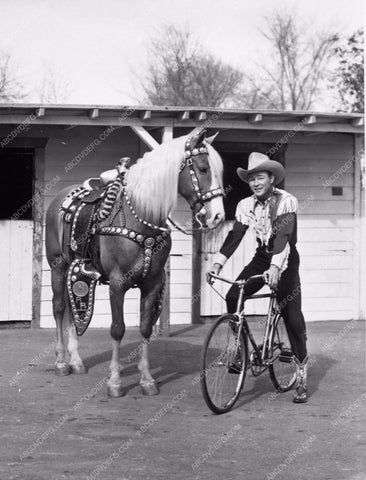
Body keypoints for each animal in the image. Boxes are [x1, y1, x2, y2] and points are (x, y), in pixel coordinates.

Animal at [45, 129, 223, 396]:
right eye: (202, 168)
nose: (217, 216)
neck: (140, 218)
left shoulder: (153, 283)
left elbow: (145, 328)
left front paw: (147, 379)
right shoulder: (118, 283)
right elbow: (118, 328)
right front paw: (115, 382)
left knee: (71, 307)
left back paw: (76, 360)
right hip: (57, 266)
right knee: (58, 307)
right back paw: (61, 362)